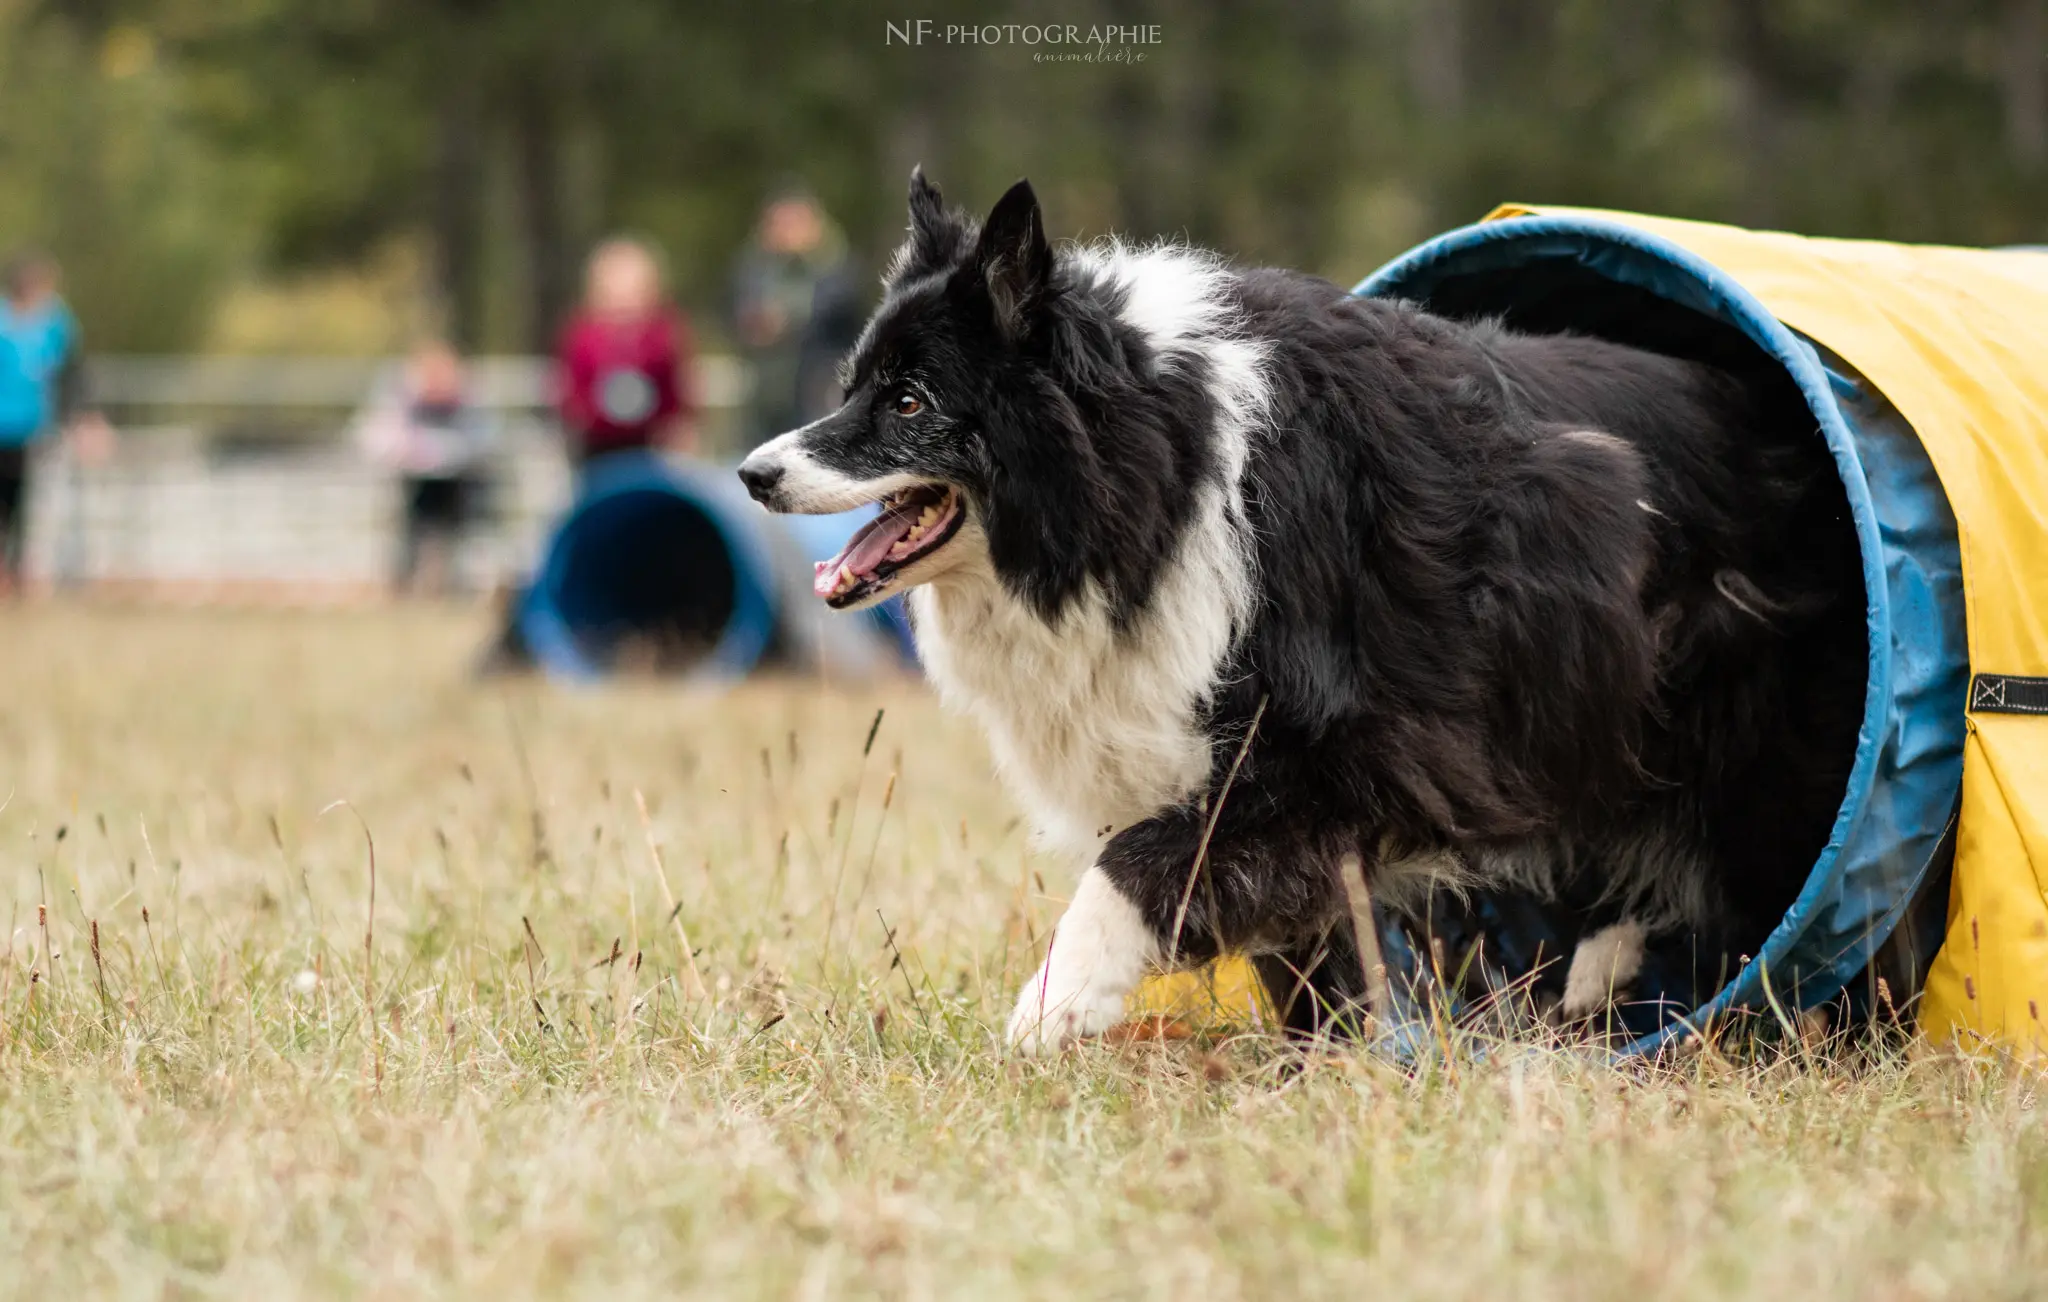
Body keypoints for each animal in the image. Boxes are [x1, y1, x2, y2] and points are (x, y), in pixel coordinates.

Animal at [741, 172, 1875, 1056]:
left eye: (910, 403)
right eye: (854, 385)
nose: (753, 474)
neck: (1165, 471)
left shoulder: (1355, 755)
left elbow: (1134, 864)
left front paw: (1055, 1004)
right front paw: (1331, 1059)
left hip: (1763, 773)